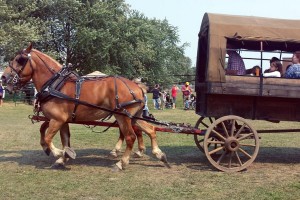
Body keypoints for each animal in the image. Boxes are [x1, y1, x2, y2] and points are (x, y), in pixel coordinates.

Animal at [0, 44, 169, 170]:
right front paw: (62, 157)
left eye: (19, 60)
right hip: (134, 116)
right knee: (150, 130)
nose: (3, 77)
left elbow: (48, 137)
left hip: (123, 116)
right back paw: (159, 155)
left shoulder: (57, 119)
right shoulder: (61, 120)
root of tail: (137, 86)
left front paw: (59, 153)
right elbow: (59, 137)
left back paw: (121, 163)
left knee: (130, 136)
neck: (56, 86)